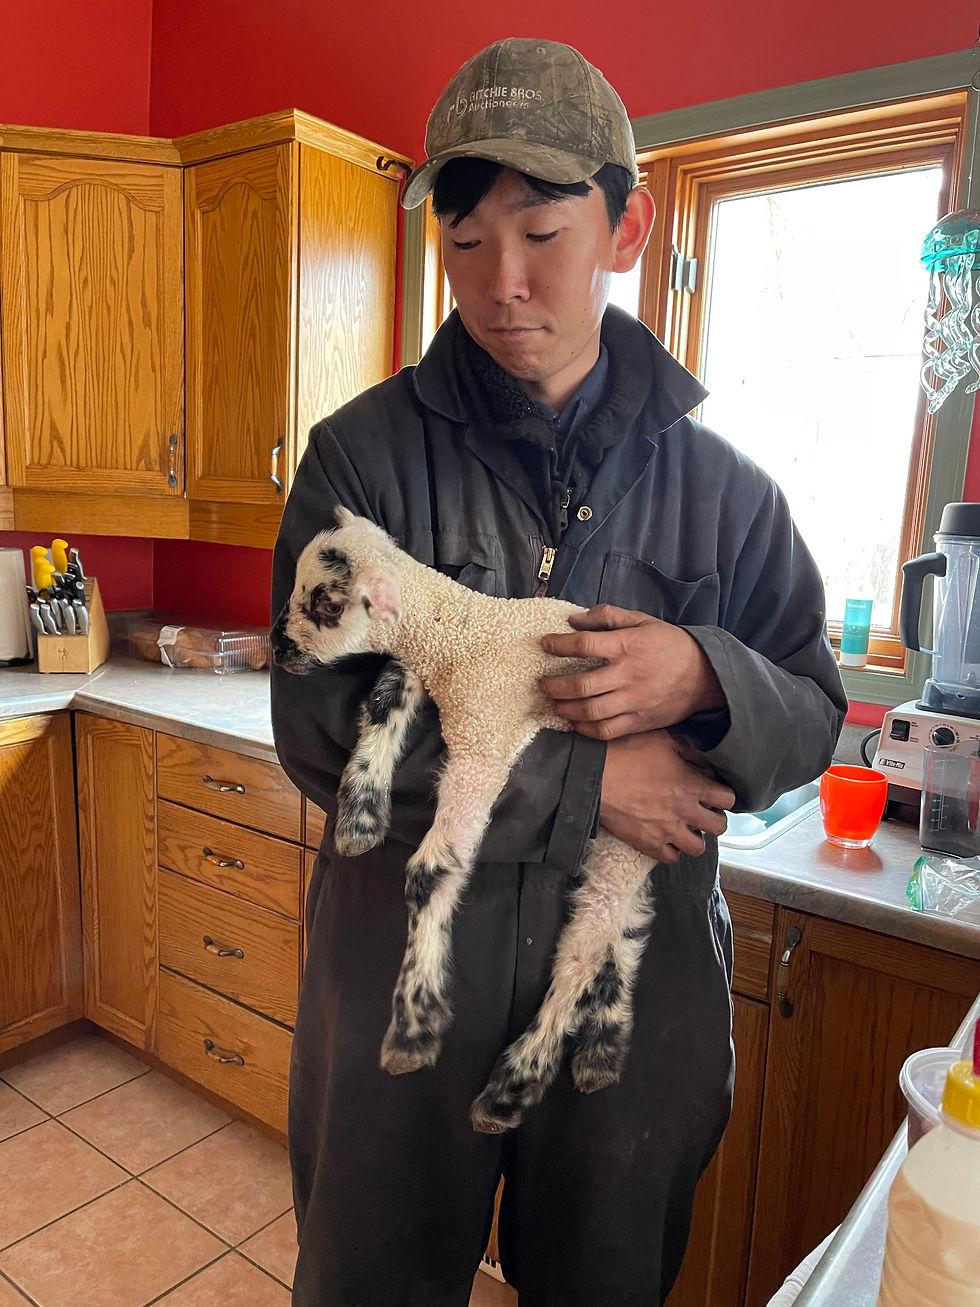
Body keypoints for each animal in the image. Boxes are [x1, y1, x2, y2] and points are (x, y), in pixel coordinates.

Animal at [272, 508, 658, 1134]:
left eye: (325, 605)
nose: (276, 647)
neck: (461, 630)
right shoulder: (419, 669)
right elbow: (381, 700)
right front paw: (359, 818)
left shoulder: (484, 744)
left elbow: (429, 874)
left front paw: (413, 1029)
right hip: (624, 842)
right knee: (625, 928)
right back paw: (601, 1050)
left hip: (628, 839)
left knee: (584, 949)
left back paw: (513, 1086)